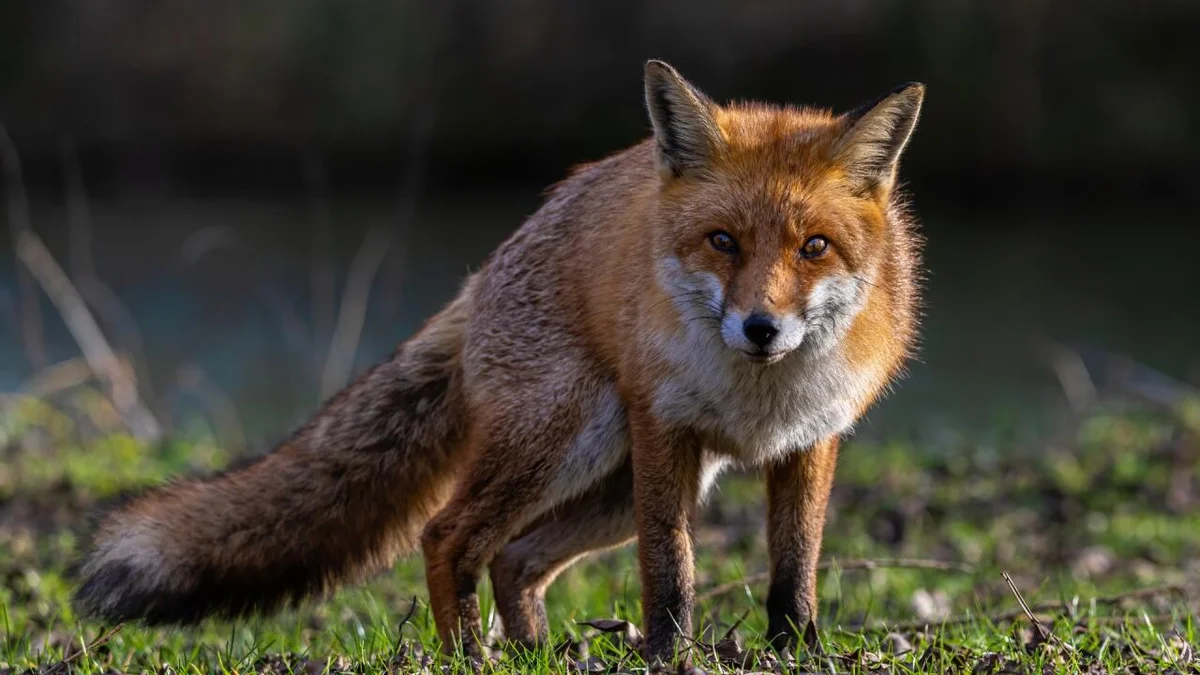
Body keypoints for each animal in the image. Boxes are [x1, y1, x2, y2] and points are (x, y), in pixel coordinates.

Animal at [70, 61, 921, 662]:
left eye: (814, 247)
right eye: (723, 241)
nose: (761, 328)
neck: (758, 398)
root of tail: (482, 274)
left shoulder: (811, 439)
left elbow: (794, 569)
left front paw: (795, 650)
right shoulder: (664, 431)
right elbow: (670, 569)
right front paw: (667, 655)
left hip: (609, 484)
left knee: (514, 556)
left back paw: (536, 651)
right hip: (571, 443)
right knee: (449, 535)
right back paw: (469, 655)